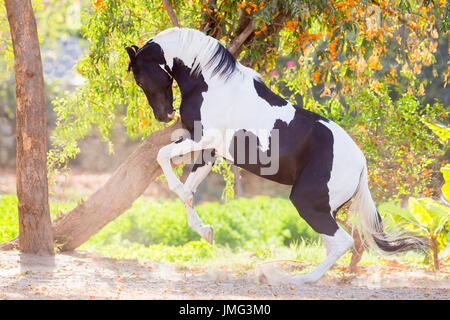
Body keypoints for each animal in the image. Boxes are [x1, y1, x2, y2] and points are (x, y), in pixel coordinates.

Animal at [125, 26, 426, 282]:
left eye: (139, 79)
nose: (164, 115)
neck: (210, 84)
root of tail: (361, 164)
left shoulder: (204, 138)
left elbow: (163, 157)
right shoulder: (207, 148)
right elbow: (187, 187)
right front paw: (206, 231)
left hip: (307, 202)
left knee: (342, 241)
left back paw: (303, 279)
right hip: (327, 208)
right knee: (340, 242)